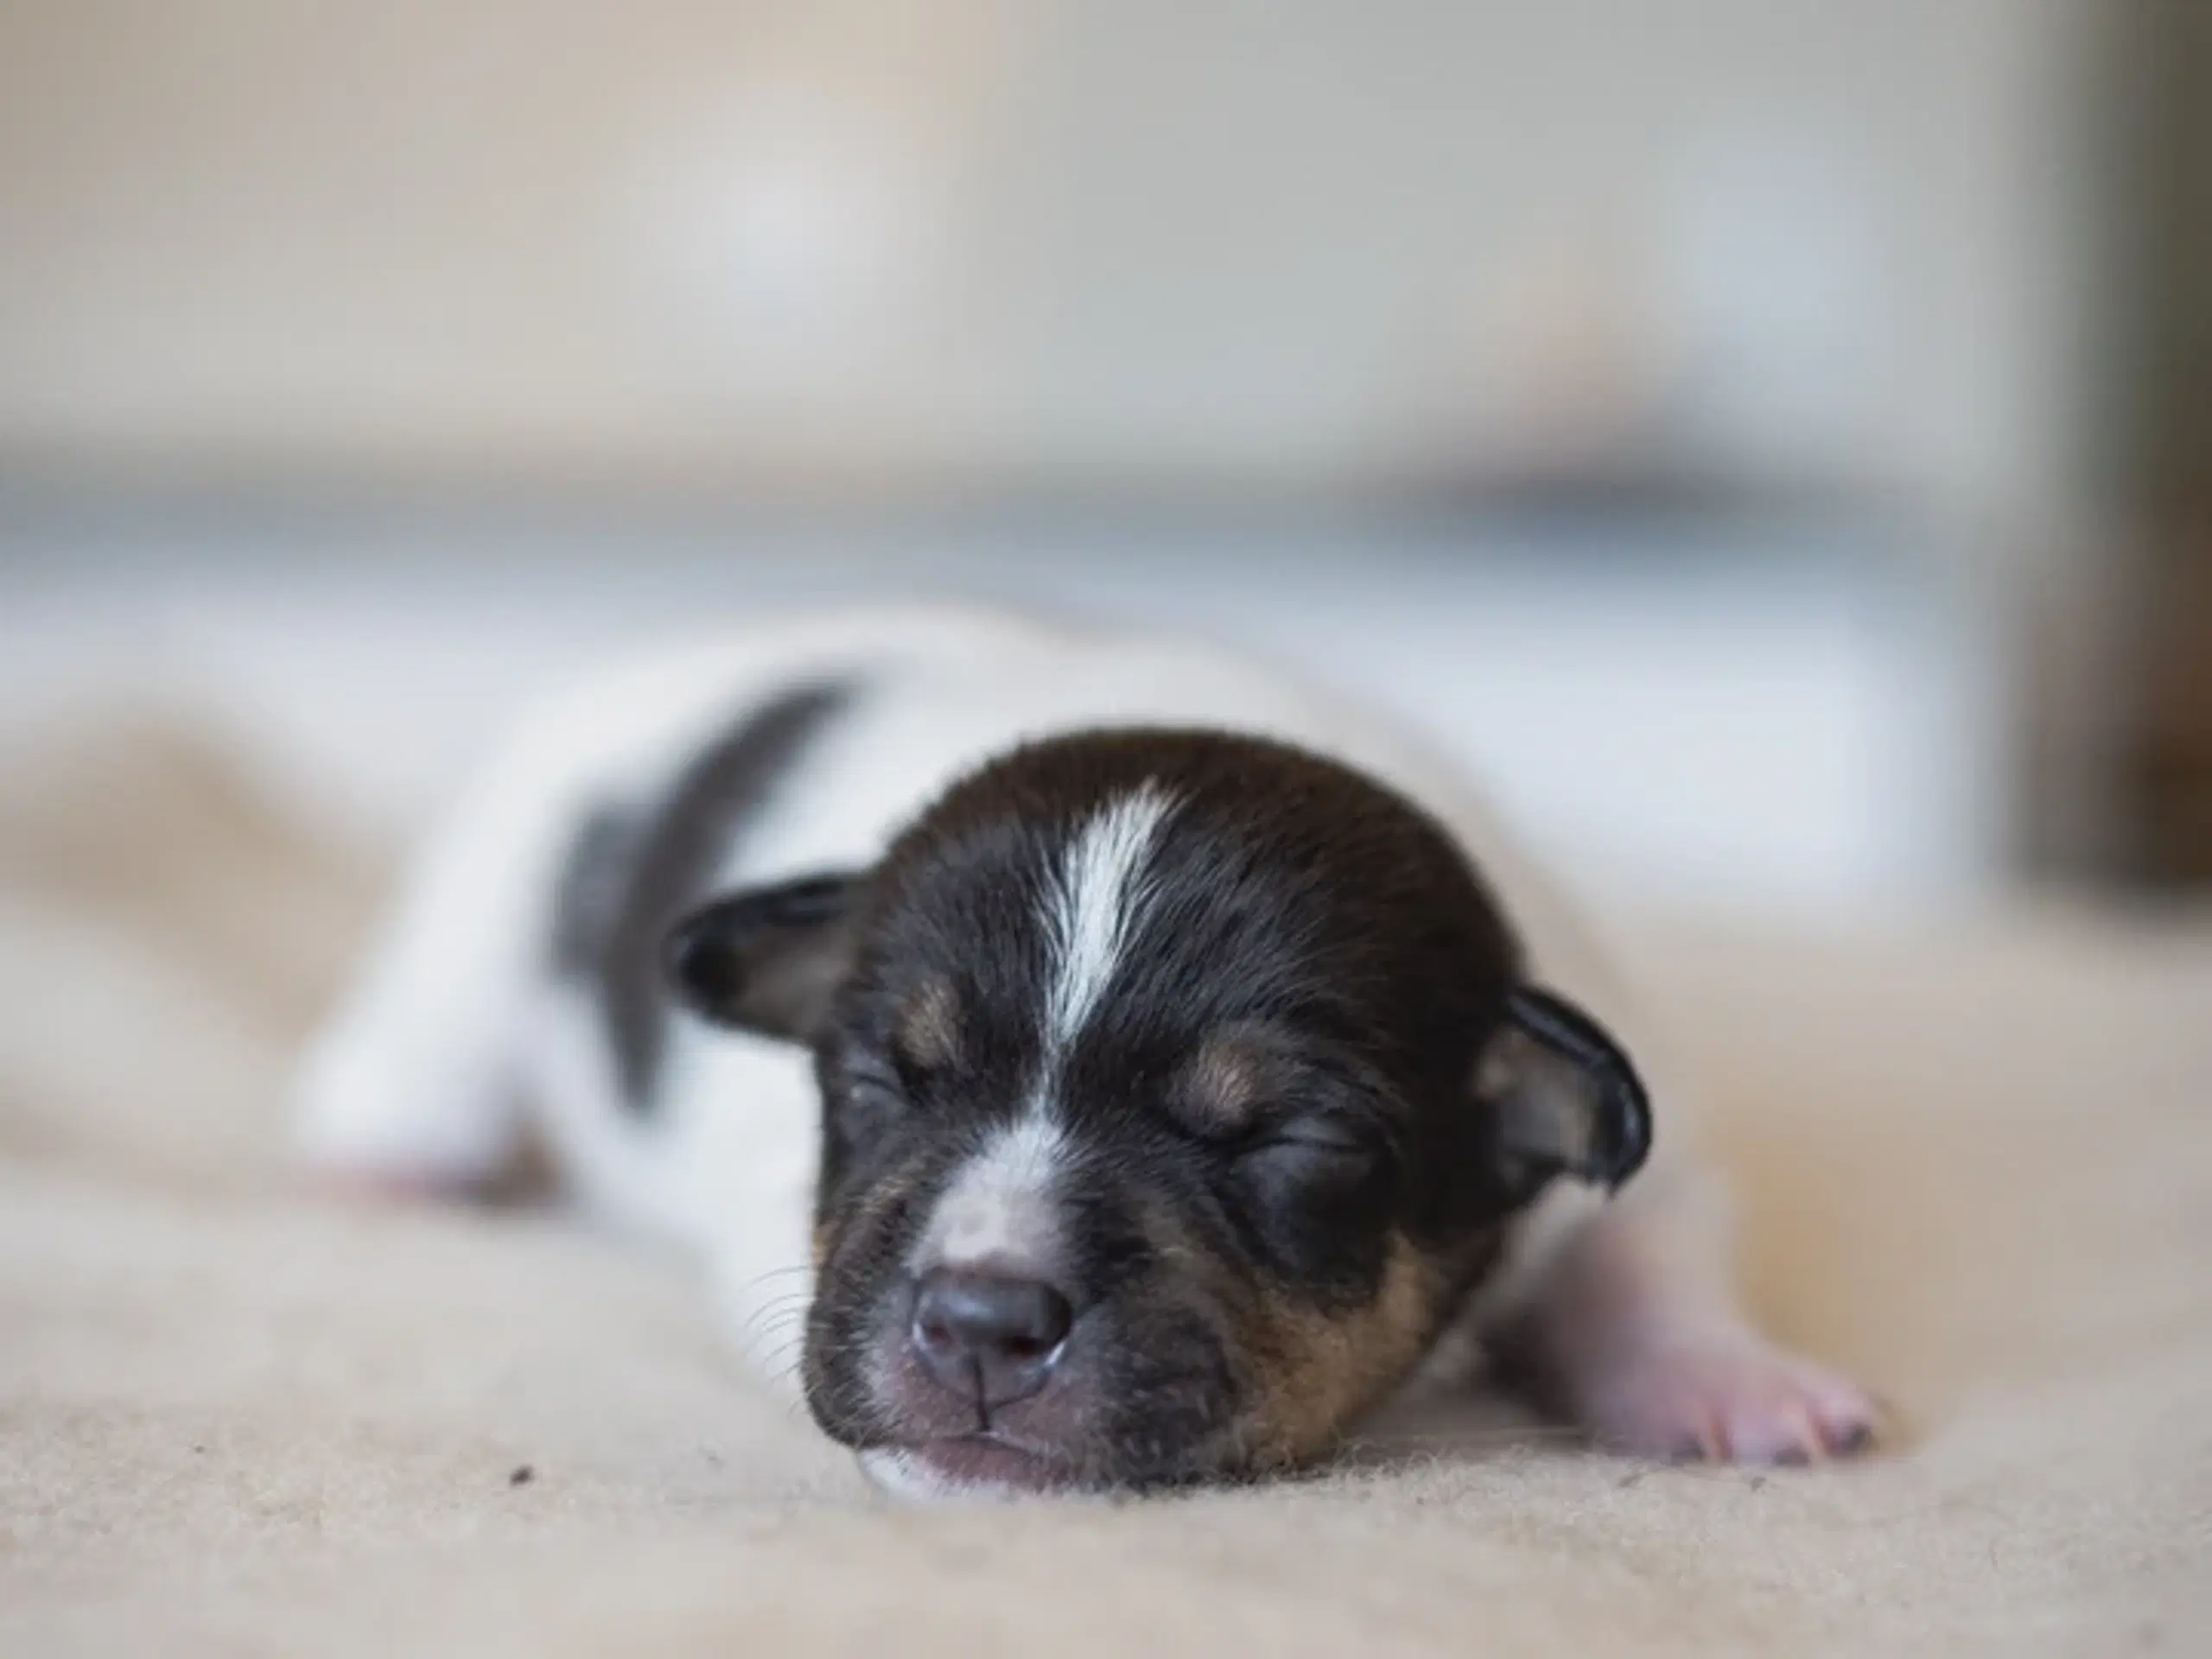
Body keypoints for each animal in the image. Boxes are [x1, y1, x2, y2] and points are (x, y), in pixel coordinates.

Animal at [298, 606, 1885, 1495]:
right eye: (879, 1085)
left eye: (1293, 1144)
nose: (979, 1326)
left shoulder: (1641, 1142)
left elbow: (1650, 1255)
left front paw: (1734, 1385)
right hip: (481, 916)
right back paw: (379, 1163)